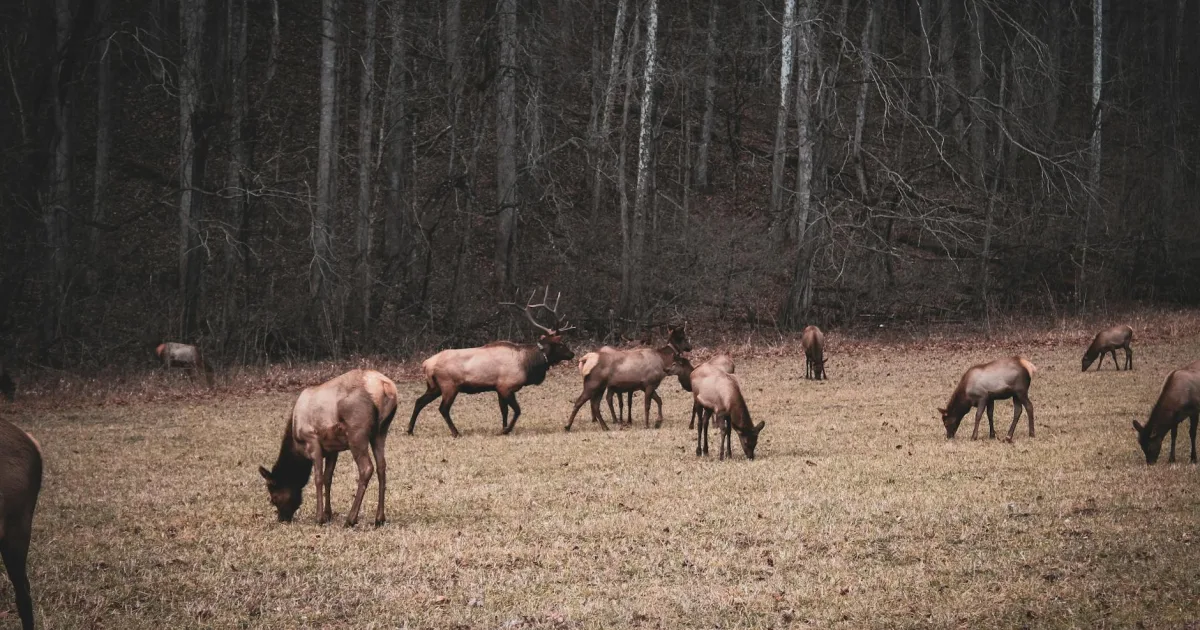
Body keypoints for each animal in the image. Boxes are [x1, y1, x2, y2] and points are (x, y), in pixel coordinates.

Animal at [259, 369, 398, 527]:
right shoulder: (332, 449)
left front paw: (319, 517)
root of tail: (385, 387)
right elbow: (328, 478)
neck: (297, 446)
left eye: (274, 498)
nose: (282, 518)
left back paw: (351, 519)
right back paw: (379, 518)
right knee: (381, 466)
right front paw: (328, 514)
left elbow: (318, 478)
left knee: (367, 468)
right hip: (380, 432)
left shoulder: (312, 441)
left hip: (357, 433)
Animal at [408, 288, 575, 437]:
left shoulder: (498, 388)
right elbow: (517, 410)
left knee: (419, 401)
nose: (572, 354)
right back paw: (455, 432)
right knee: (443, 409)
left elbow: (504, 411)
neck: (528, 364)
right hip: (449, 385)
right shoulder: (506, 387)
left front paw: (503, 428)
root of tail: (426, 364)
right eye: (561, 344)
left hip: (434, 386)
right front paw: (507, 430)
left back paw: (410, 430)